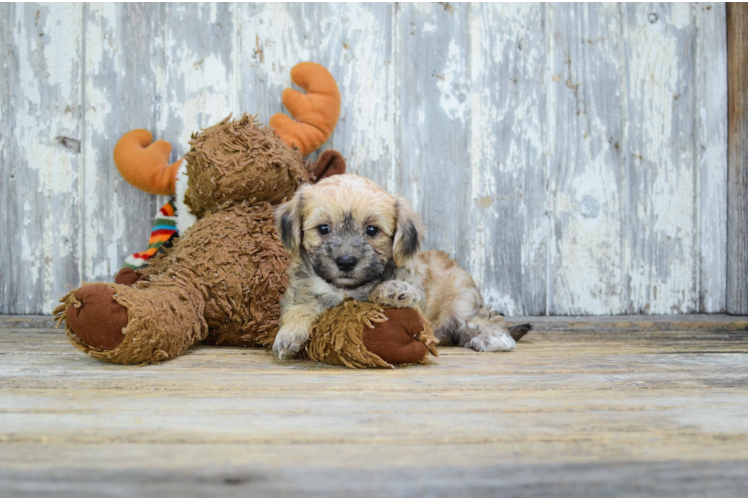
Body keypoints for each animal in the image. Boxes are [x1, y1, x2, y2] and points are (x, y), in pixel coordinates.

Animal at [272, 173, 528, 360]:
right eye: (323, 229)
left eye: (371, 230)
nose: (346, 261)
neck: (347, 289)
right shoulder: (298, 294)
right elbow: (298, 309)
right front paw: (289, 335)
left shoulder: (418, 301)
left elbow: (406, 294)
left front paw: (391, 290)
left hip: (462, 300)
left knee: (479, 320)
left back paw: (492, 337)